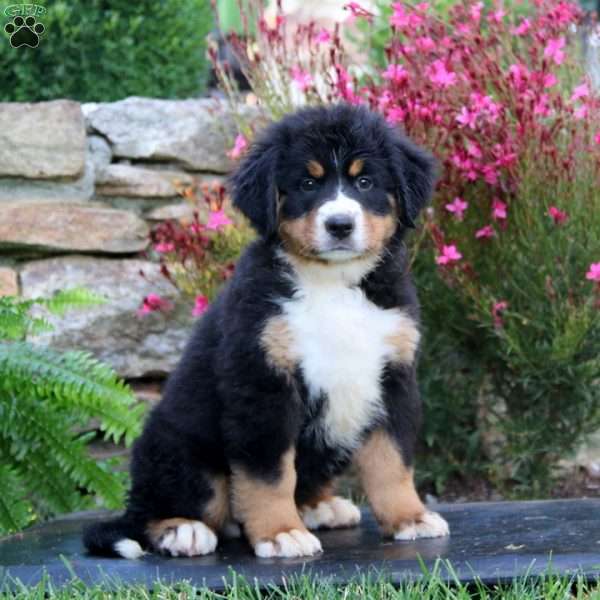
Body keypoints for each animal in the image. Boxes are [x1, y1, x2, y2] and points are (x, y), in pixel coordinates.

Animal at [83, 105, 450, 560]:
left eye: (365, 182)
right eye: (308, 183)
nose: (340, 225)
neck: (333, 284)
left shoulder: (392, 378)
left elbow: (392, 463)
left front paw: (409, 518)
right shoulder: (262, 384)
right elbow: (269, 474)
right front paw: (280, 532)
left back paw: (320, 507)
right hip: (178, 450)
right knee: (153, 510)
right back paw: (182, 530)